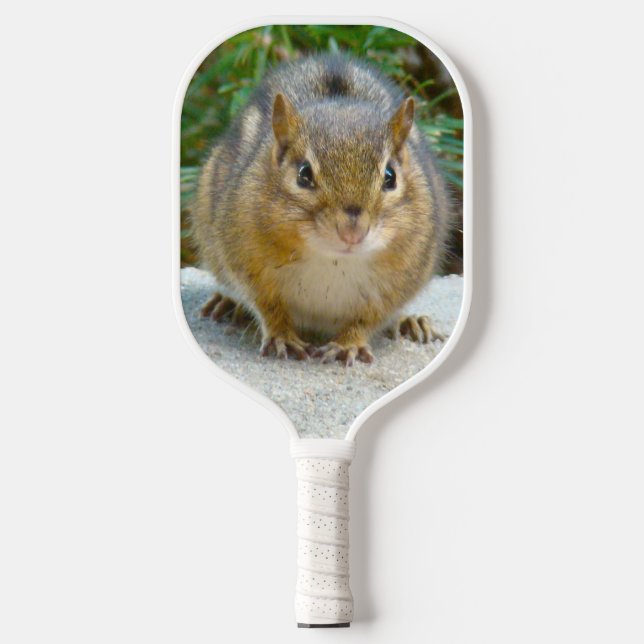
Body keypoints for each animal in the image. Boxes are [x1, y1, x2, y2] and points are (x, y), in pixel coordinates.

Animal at [192, 54, 452, 366]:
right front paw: (282, 336)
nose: (352, 232)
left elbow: (369, 317)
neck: (333, 259)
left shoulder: (401, 278)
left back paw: (410, 323)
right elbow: (267, 305)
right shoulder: (245, 259)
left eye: (390, 176)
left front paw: (348, 344)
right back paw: (227, 303)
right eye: (304, 174)